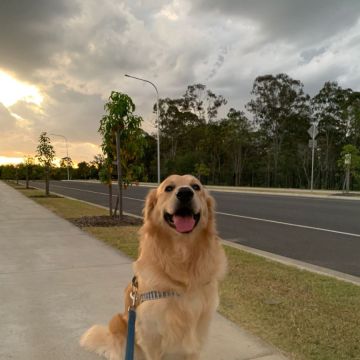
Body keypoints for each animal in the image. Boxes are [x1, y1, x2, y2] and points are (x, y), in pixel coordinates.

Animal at [80, 174, 226, 358]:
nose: (185, 193)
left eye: (196, 186)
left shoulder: (197, 336)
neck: (182, 256)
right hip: (118, 322)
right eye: (169, 188)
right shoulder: (150, 337)